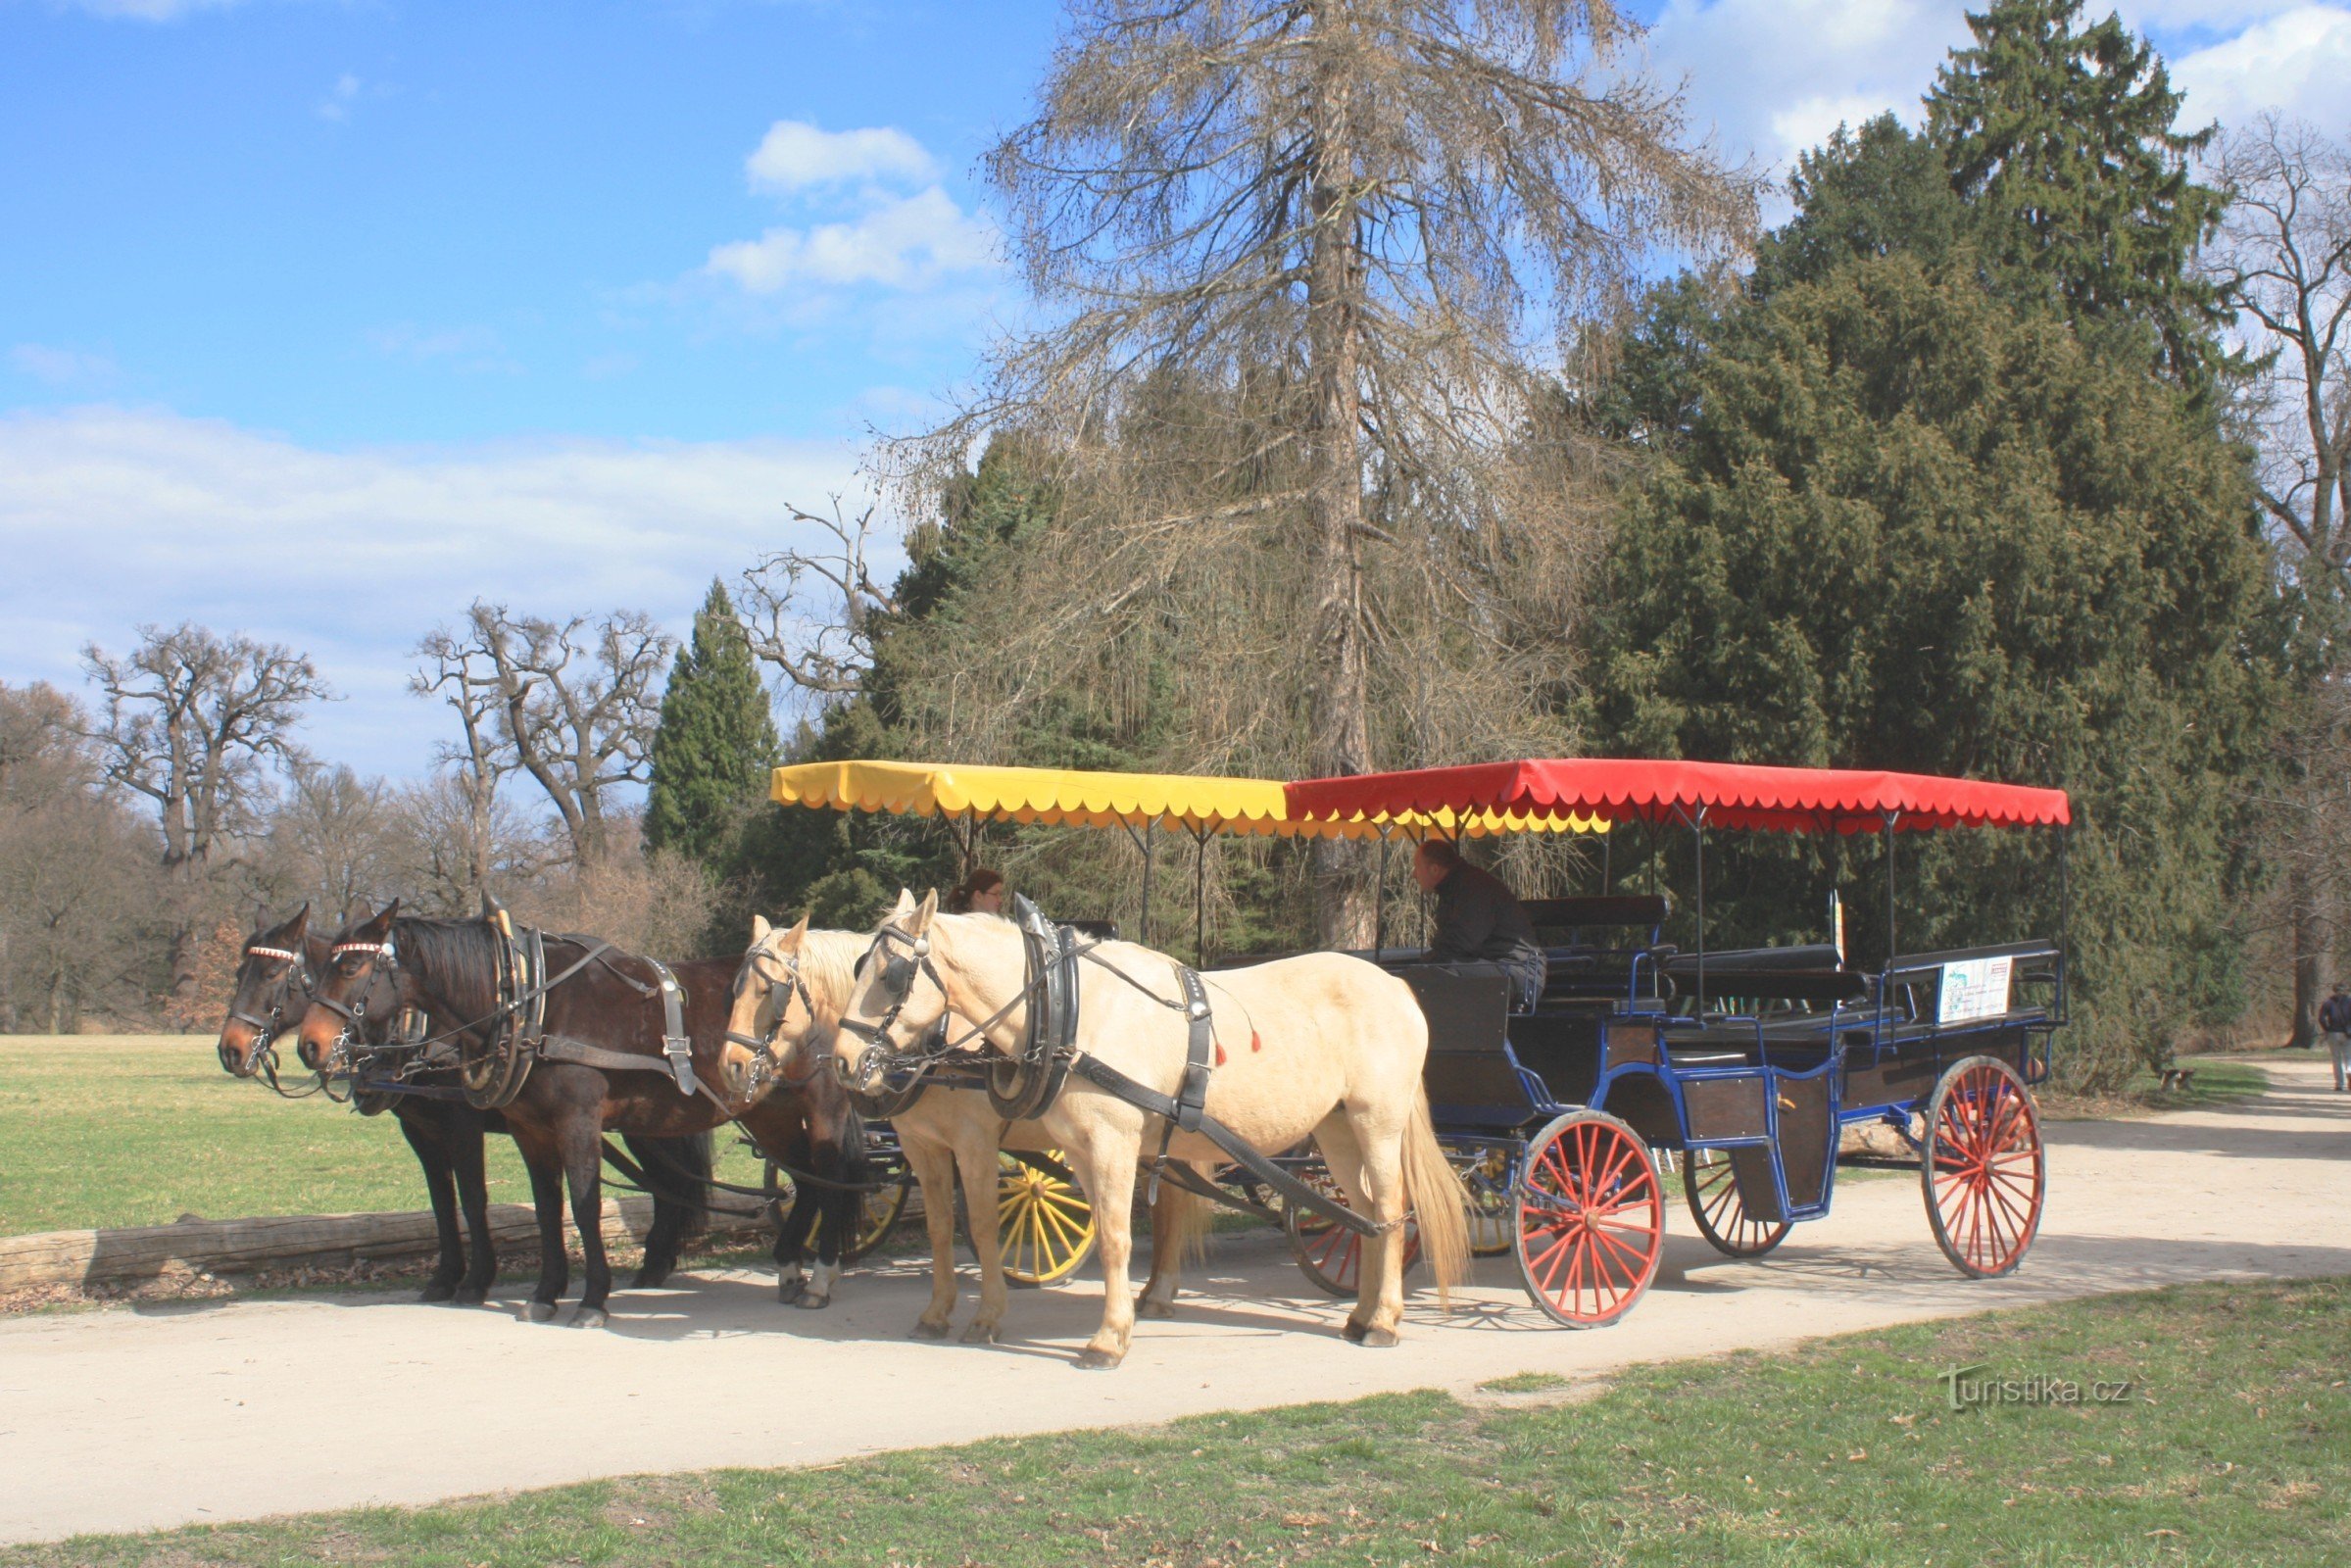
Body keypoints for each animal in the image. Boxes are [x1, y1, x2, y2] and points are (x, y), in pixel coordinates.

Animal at [220, 903, 714, 1306]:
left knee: (667, 1184)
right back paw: (655, 1264)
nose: (230, 1050)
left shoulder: (462, 1126)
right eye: (239, 974)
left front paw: (476, 1280)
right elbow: (443, 1202)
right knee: (667, 1184)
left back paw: (654, 1263)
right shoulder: (421, 1130)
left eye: (270, 976)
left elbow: (474, 1199)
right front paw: (445, 1277)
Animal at [298, 906, 869, 1325]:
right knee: (805, 1180)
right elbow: (547, 1208)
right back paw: (789, 1265)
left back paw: (820, 1275)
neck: (532, 1008)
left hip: (820, 1103)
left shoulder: (572, 1120)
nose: (310, 1045)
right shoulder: (528, 1130)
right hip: (769, 1111)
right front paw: (545, 1292)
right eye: (315, 973)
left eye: (350, 968)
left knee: (830, 1175)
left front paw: (592, 1297)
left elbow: (582, 1202)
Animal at [719, 921, 1212, 1353]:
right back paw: (1156, 1292)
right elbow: (936, 1225)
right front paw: (936, 1311)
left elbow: (982, 1222)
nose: (732, 1065)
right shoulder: (921, 1143)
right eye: (734, 988)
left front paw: (987, 1314)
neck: (935, 1043)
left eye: (769, 991)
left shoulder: (975, 1141)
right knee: (1170, 1202)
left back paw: (1156, 1292)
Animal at [827, 893, 1466, 1372]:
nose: (841, 1062)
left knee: (1390, 1210)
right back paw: (1360, 1317)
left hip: (1376, 1124)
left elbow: (1108, 1240)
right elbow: (958, 1231)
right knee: (1364, 1217)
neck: (1068, 1010)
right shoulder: (1070, 1149)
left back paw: (1384, 1321)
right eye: (858, 967)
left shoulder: (1093, 1144)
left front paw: (1106, 1339)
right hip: (1335, 1132)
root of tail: (1395, 985)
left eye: (893, 975)